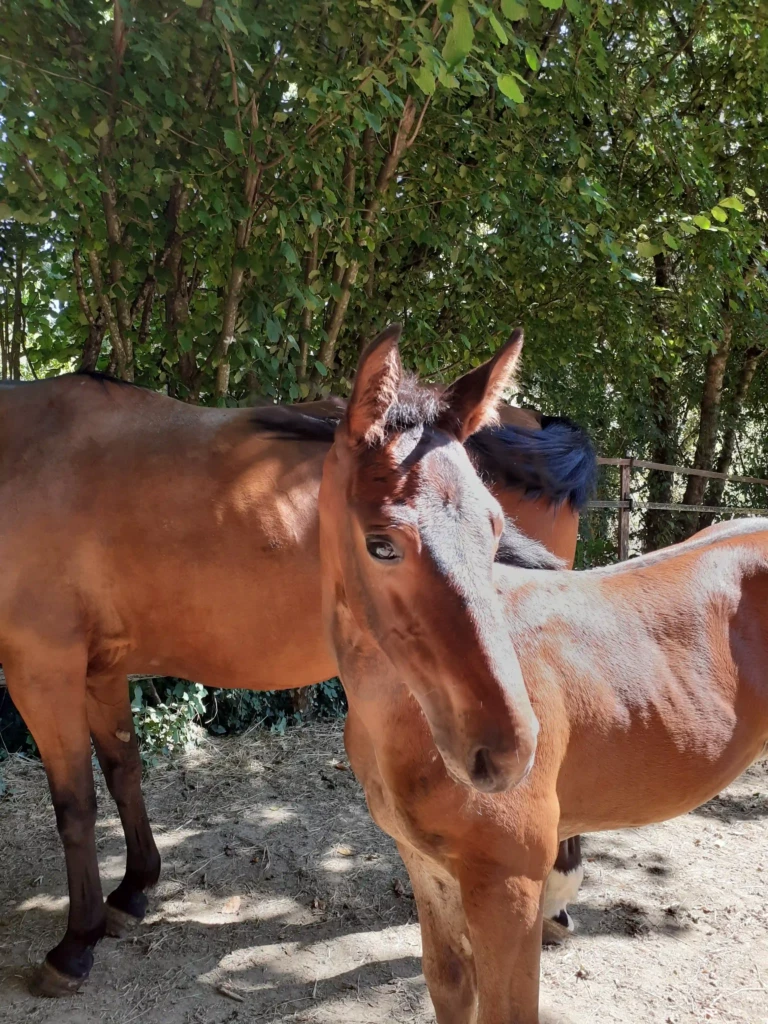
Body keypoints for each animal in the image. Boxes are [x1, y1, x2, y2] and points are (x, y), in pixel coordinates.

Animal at [0, 352, 594, 995]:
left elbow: (75, 805)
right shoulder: (100, 669)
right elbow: (123, 772)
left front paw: (74, 944)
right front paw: (133, 890)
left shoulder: (43, 667)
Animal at [316, 325, 768, 1024]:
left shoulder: (509, 888)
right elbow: (448, 984)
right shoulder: (427, 870)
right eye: (380, 543)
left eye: (496, 525)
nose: (508, 751)